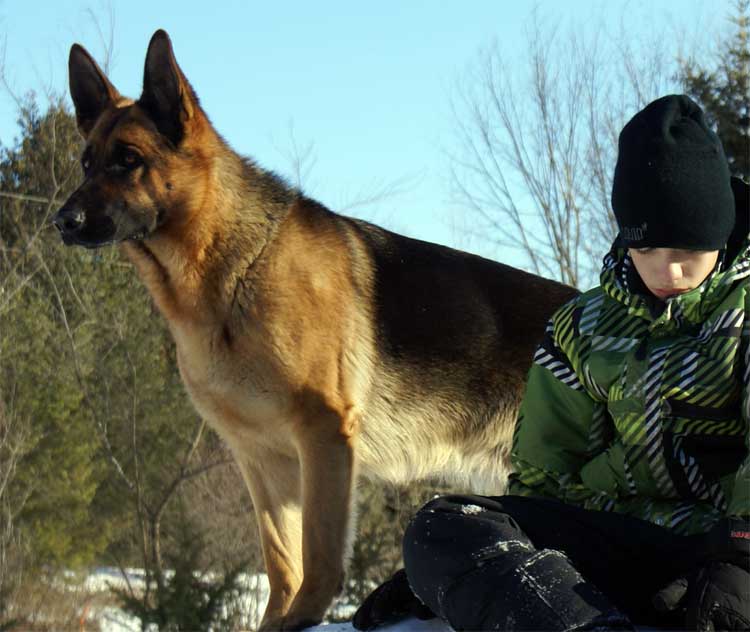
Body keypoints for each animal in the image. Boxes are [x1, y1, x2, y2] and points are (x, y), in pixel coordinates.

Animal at [55, 28, 580, 628]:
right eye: (86, 163)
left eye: (129, 159)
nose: (62, 222)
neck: (231, 273)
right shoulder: (262, 459)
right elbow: (282, 561)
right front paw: (277, 619)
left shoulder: (323, 436)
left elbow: (321, 553)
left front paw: (303, 616)